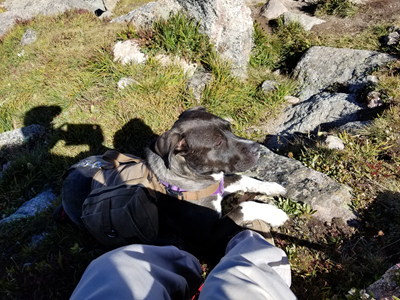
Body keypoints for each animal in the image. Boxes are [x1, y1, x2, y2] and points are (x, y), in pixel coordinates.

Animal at [61, 106, 288, 262]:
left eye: (230, 128)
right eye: (217, 143)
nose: (257, 148)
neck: (192, 178)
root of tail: (70, 171)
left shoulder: (220, 183)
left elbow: (244, 179)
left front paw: (272, 186)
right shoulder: (207, 237)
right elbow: (242, 207)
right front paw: (275, 213)